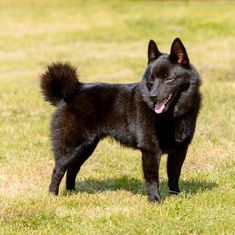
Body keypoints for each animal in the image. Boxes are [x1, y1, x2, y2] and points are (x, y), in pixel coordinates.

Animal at [40, 37, 200, 203]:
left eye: (169, 79)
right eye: (151, 80)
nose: (153, 96)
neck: (171, 115)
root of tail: (67, 95)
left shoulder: (180, 150)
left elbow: (174, 175)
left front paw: (176, 196)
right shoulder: (150, 149)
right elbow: (152, 179)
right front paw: (155, 200)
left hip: (86, 146)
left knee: (73, 168)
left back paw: (72, 192)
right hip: (71, 146)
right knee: (58, 169)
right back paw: (52, 195)